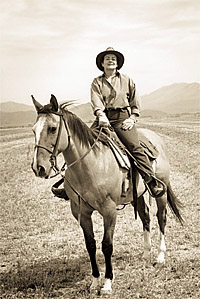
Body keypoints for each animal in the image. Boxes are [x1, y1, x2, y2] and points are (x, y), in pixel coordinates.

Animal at [31, 95, 183, 294]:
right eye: (33, 130)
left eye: (52, 128)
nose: (38, 168)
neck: (90, 165)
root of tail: (155, 138)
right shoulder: (81, 212)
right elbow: (90, 245)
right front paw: (95, 281)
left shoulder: (109, 210)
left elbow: (107, 245)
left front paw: (108, 283)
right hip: (137, 196)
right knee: (146, 217)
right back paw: (146, 253)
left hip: (160, 193)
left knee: (161, 217)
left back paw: (160, 256)